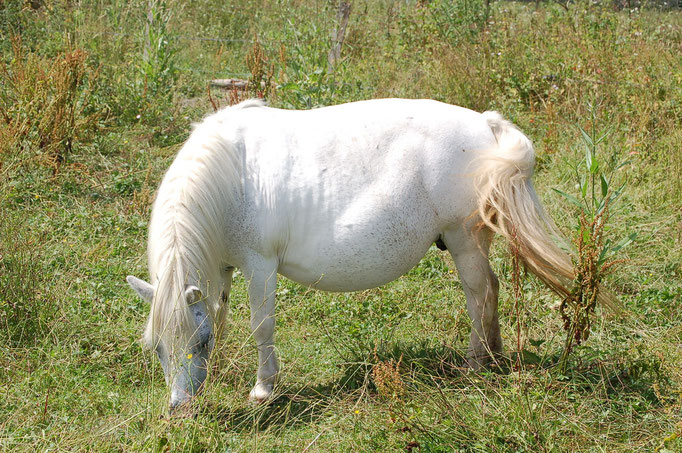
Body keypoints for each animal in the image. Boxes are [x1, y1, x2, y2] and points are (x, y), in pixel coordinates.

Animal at [127, 98, 588, 410]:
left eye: (198, 342)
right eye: (156, 347)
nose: (181, 407)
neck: (230, 175)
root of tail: (485, 125)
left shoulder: (260, 266)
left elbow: (260, 326)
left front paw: (263, 388)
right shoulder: (222, 267)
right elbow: (220, 314)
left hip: (463, 240)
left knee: (480, 293)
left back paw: (476, 363)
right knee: (489, 289)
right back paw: (494, 355)